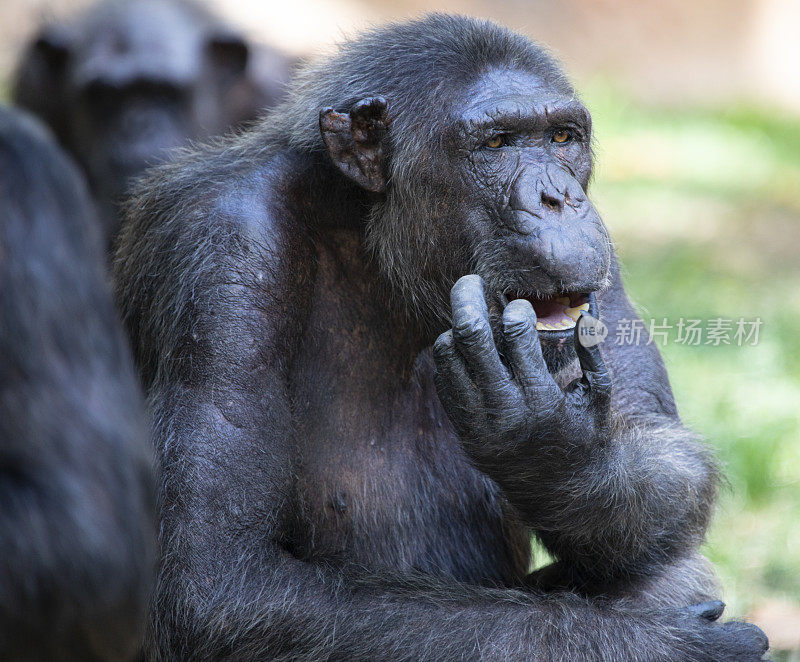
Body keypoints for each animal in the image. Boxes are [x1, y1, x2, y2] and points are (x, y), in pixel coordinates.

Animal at [112, 15, 768, 662]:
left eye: (561, 138)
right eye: (497, 144)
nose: (559, 198)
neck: (371, 243)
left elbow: (666, 454)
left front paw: (550, 447)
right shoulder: (225, 248)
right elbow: (218, 581)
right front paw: (669, 646)